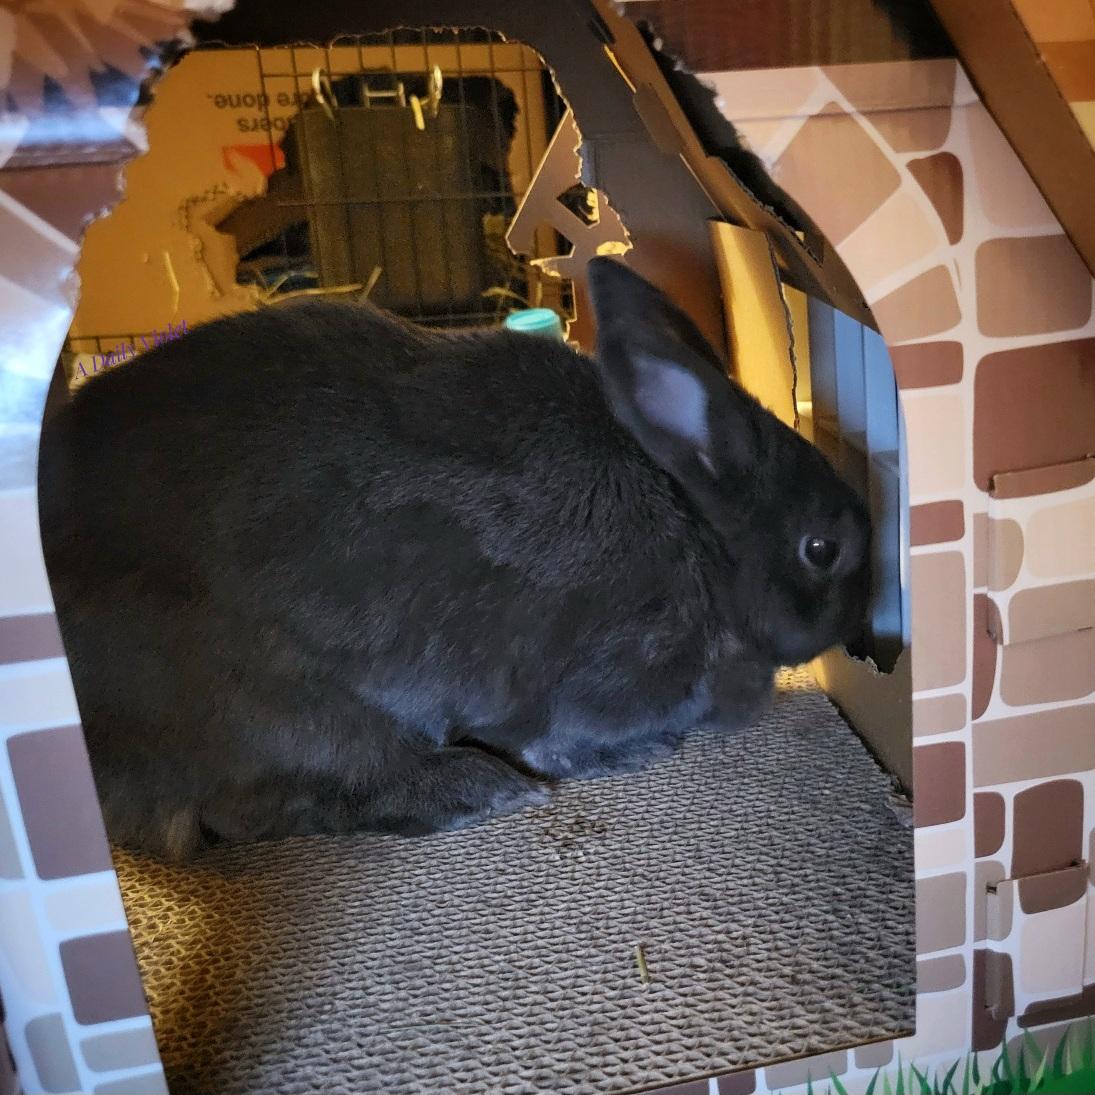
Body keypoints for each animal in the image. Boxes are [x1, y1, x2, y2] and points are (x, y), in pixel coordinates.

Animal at [37, 257, 871, 861]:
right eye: (822, 549)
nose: (864, 625)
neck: (701, 535)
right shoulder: (591, 673)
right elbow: (551, 738)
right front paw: (628, 756)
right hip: (288, 712)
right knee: (264, 805)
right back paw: (476, 790)